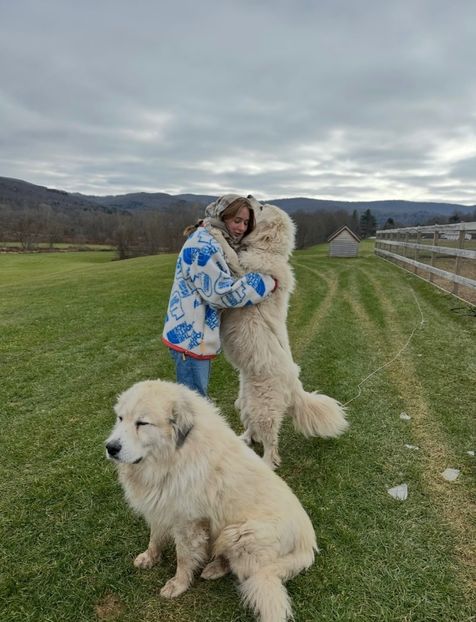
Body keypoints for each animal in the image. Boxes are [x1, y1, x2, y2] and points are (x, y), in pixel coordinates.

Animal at [106, 380, 318, 622]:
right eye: (120, 418)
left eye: (142, 423)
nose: (110, 447)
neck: (174, 456)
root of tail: (308, 544)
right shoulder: (162, 508)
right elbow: (155, 538)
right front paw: (150, 557)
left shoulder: (188, 523)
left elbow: (183, 557)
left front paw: (178, 584)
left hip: (238, 534)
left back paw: (215, 568)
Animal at [208, 202, 350, 470]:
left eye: (261, 207)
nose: (250, 196)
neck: (267, 250)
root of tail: (295, 385)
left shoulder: (244, 276)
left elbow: (231, 255)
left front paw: (216, 233)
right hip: (246, 403)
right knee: (253, 428)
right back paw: (244, 439)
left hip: (264, 408)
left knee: (270, 442)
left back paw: (265, 462)